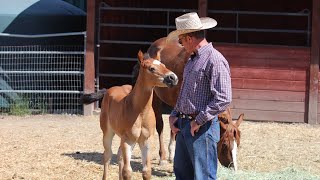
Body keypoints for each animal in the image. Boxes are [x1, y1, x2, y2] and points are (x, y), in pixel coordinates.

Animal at [81, 50, 179, 180]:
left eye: (164, 65)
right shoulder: (128, 141)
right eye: (152, 68)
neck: (140, 112)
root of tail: (108, 91)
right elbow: (127, 171)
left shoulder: (146, 141)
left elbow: (146, 171)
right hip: (108, 133)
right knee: (107, 155)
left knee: (119, 155)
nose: (173, 78)